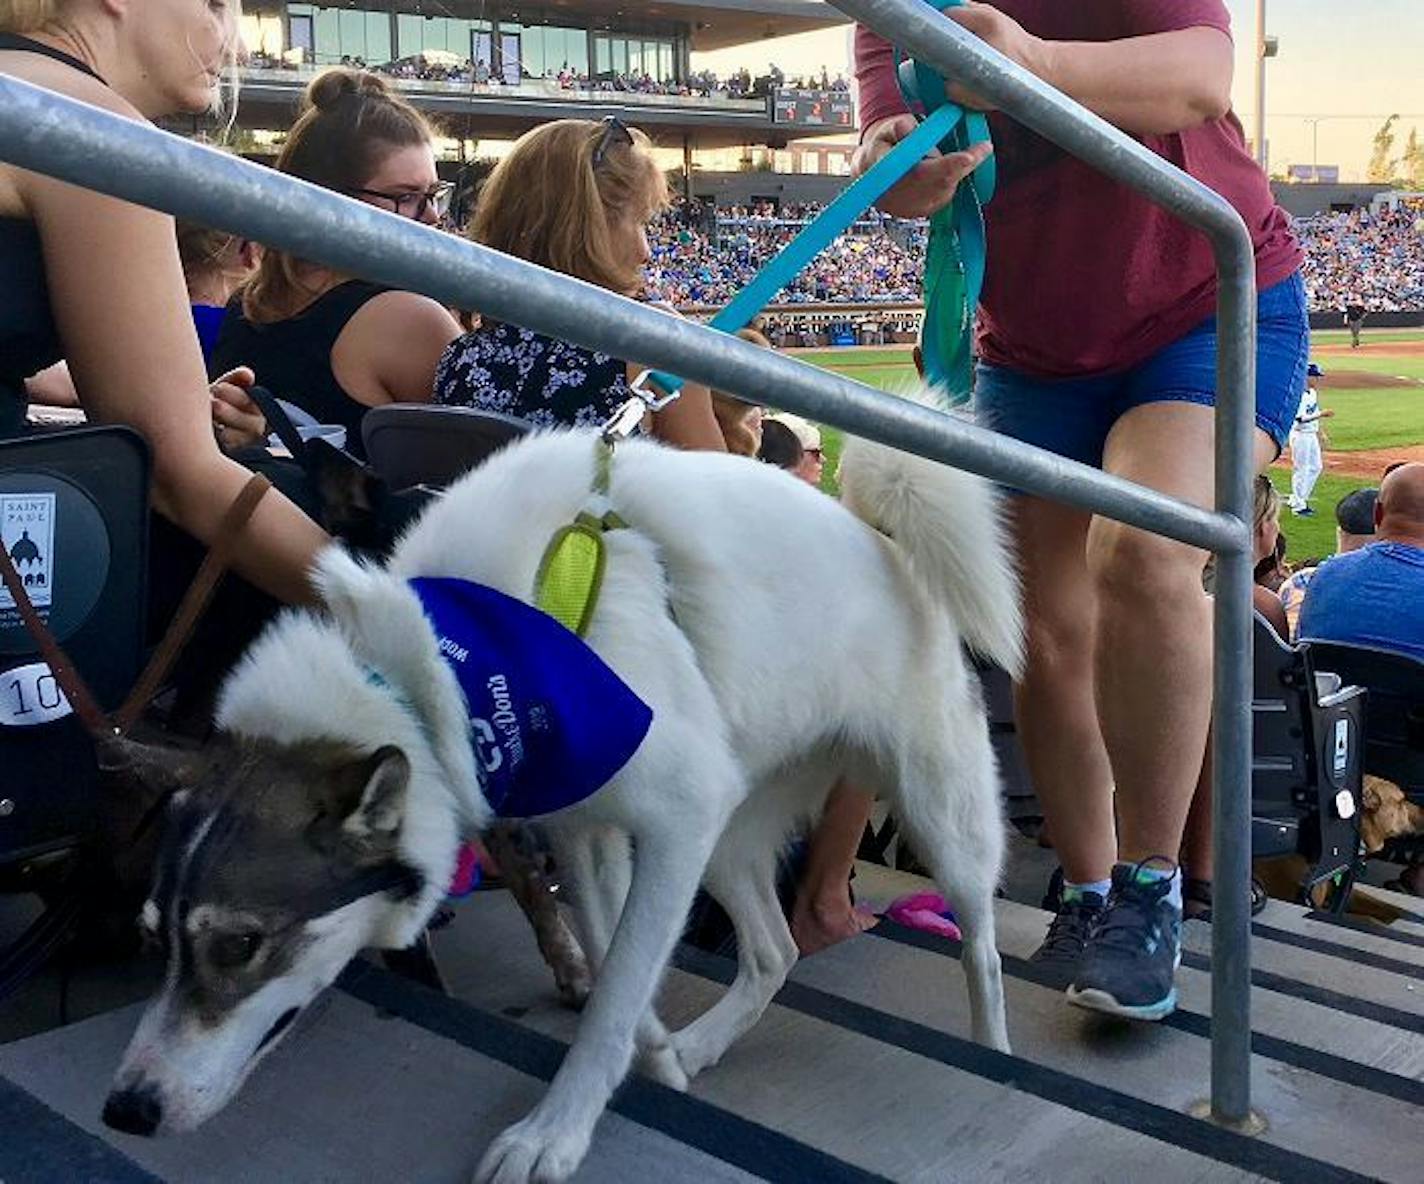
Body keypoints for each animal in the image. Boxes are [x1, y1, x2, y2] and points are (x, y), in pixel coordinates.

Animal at [105, 410, 1019, 1184]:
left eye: (241, 944)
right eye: (150, 937)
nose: (125, 1111)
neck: (452, 668)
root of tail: (887, 542)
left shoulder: (676, 812)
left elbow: (612, 995)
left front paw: (556, 1130)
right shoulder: (595, 830)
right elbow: (615, 957)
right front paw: (658, 1055)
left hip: (940, 813)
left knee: (981, 945)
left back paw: (993, 1056)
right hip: (732, 828)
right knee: (774, 951)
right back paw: (708, 1041)